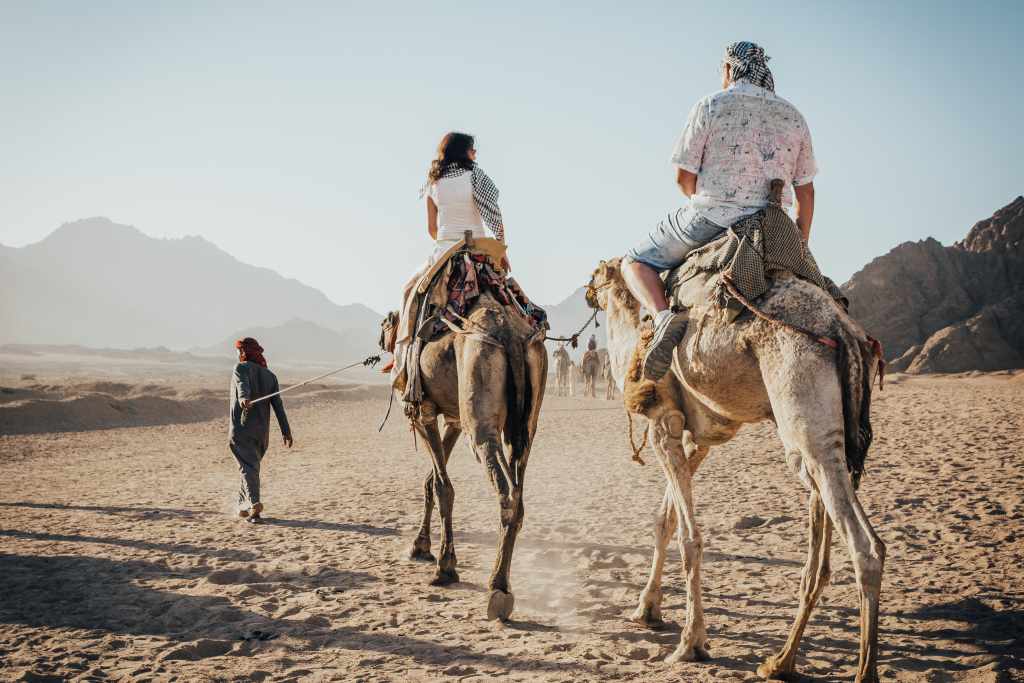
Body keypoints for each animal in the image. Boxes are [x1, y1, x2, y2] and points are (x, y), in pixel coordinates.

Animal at [378, 290, 552, 622]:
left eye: (386, 324)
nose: (382, 337)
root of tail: (511, 335)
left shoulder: (423, 411)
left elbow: (442, 486)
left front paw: (445, 566)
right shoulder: (455, 419)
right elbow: (431, 479)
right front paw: (420, 546)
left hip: (479, 410)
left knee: (507, 492)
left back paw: (498, 589)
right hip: (526, 423)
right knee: (520, 488)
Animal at [589, 258, 884, 683]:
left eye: (595, 275)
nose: (587, 292)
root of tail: (843, 329)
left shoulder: (663, 423)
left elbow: (690, 538)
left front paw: (690, 643)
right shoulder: (701, 438)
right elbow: (665, 520)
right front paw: (647, 609)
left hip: (803, 410)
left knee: (865, 546)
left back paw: (858, 671)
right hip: (830, 432)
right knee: (820, 554)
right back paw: (780, 661)